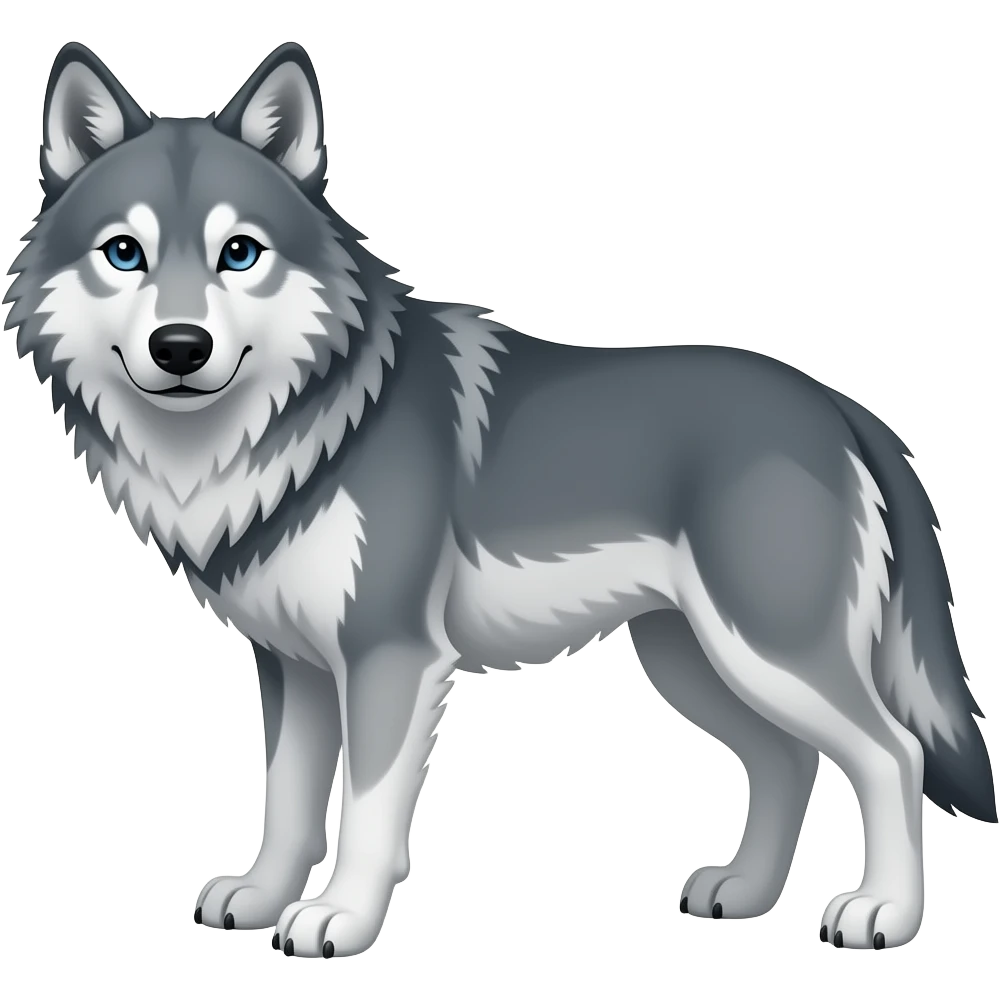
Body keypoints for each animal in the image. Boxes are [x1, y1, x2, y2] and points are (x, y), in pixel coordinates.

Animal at [3, 40, 995, 959]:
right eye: (124, 254)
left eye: (238, 253)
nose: (180, 346)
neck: (299, 428)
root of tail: (839, 406)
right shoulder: (292, 666)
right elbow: (284, 799)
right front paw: (259, 897)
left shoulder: (389, 658)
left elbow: (366, 810)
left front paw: (338, 917)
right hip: (693, 659)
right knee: (788, 759)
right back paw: (744, 891)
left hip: (766, 651)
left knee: (891, 753)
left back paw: (883, 912)